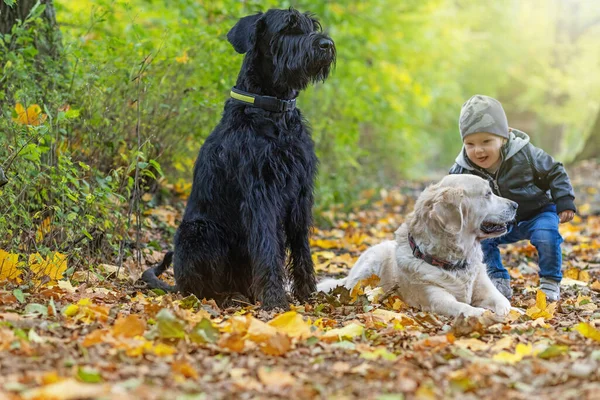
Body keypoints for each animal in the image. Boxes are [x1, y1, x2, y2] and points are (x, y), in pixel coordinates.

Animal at [142, 8, 336, 310]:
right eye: (288, 28)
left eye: (311, 26)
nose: (326, 44)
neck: (273, 111)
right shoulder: (261, 191)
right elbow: (267, 246)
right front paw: (275, 300)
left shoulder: (301, 193)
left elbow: (302, 246)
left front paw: (308, 295)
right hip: (199, 232)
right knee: (198, 287)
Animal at [316, 175, 516, 318]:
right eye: (488, 194)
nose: (515, 204)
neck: (455, 259)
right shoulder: (435, 297)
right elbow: (464, 307)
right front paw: (483, 313)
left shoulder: (485, 288)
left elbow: (503, 302)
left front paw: (513, 312)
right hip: (368, 265)